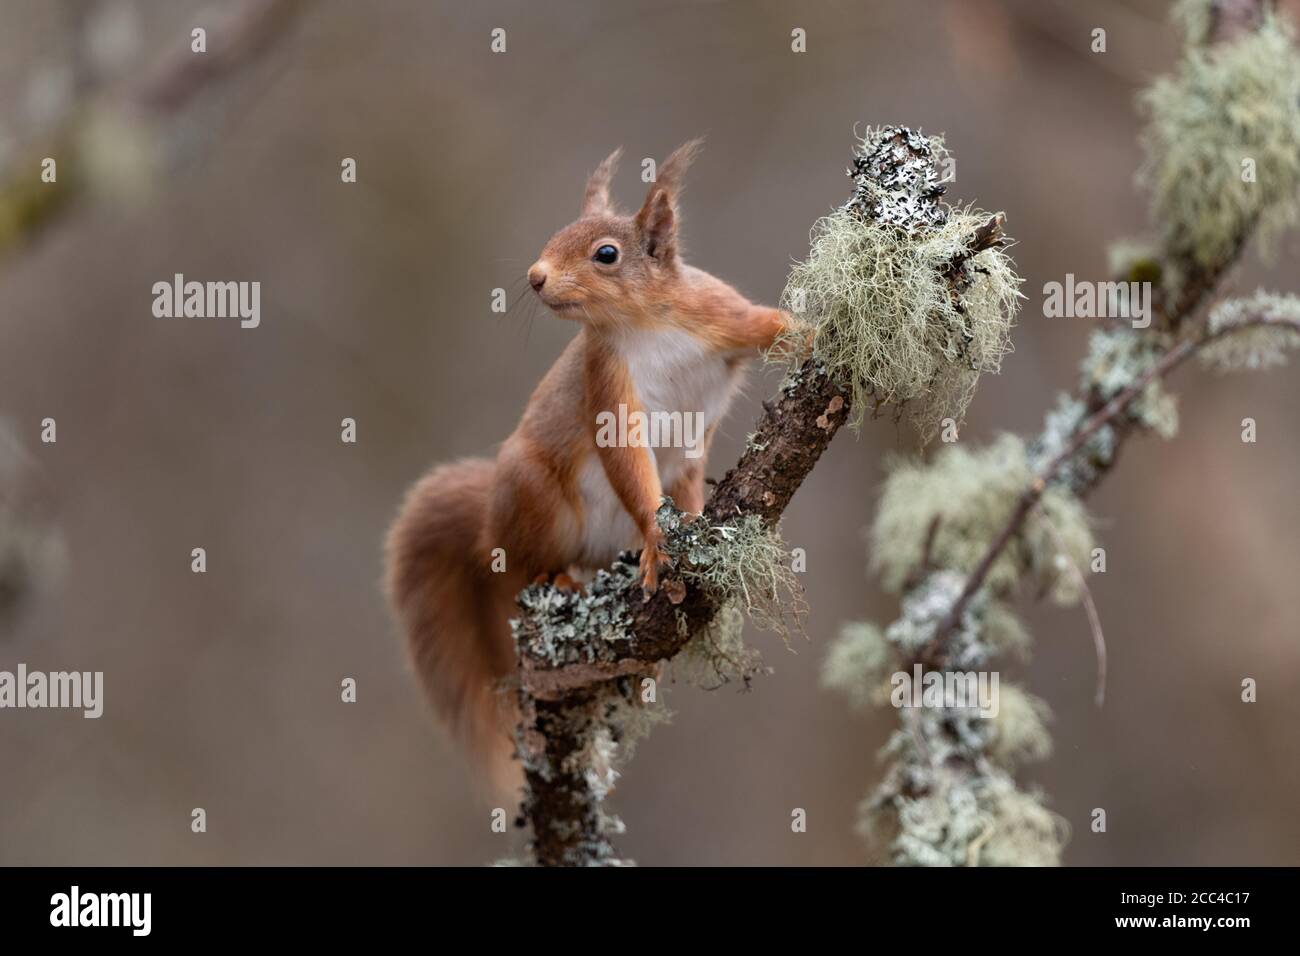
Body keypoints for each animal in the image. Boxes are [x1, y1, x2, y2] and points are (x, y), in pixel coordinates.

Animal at [384, 140, 790, 785]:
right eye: (555, 235)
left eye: (607, 254)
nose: (535, 276)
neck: (645, 321)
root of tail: (488, 525)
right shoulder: (605, 376)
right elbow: (622, 455)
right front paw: (656, 536)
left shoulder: (717, 312)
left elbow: (764, 324)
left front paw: (815, 332)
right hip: (537, 496)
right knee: (525, 567)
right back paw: (560, 578)